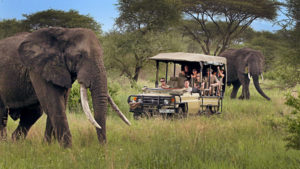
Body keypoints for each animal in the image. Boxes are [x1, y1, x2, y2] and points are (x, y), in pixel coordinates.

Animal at [0, 27, 131, 147]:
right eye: (79, 56)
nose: (103, 150)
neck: (66, 32)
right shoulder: (38, 68)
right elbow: (54, 105)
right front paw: (68, 151)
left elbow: (60, 103)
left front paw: (48, 147)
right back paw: (5, 144)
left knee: (34, 112)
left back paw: (15, 143)